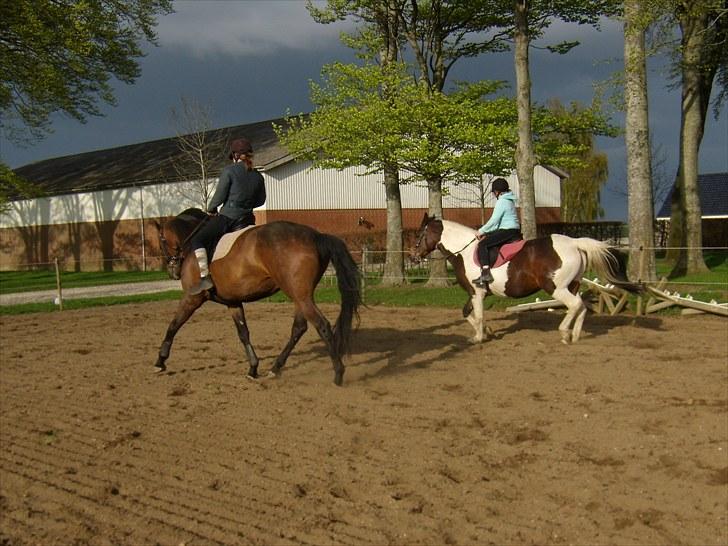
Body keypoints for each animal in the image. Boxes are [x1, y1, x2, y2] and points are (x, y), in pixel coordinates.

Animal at [416, 214, 644, 344]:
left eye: (419, 235)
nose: (414, 255)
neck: (464, 251)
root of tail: (575, 243)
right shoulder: (476, 293)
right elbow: (465, 313)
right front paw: (487, 332)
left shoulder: (478, 293)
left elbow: (478, 316)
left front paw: (479, 337)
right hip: (573, 285)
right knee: (581, 307)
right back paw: (575, 336)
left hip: (556, 288)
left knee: (575, 305)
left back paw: (564, 333)